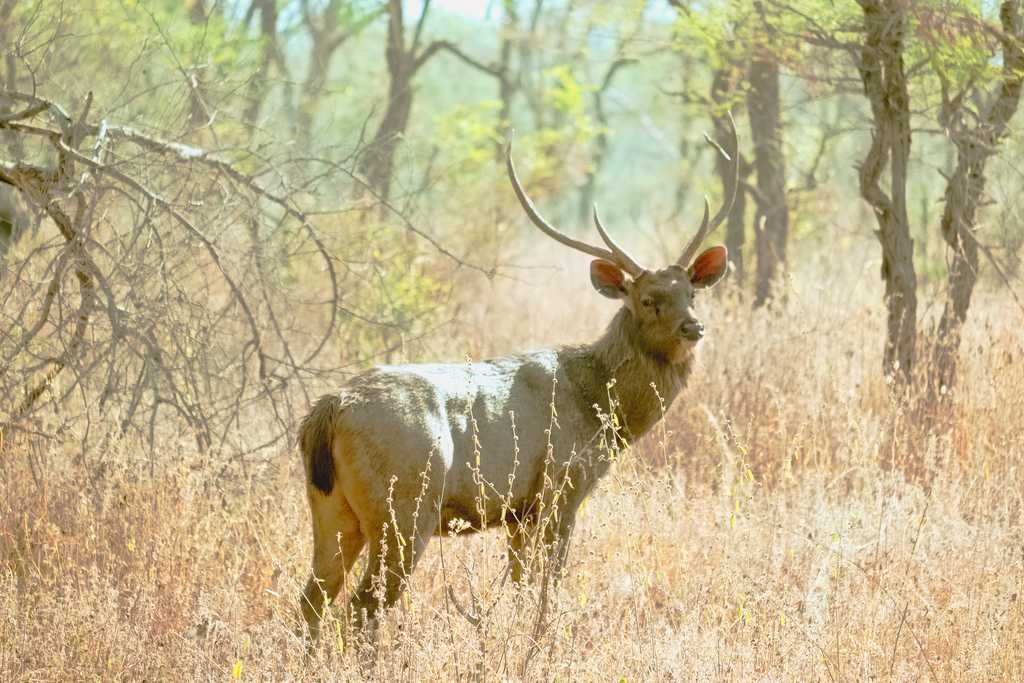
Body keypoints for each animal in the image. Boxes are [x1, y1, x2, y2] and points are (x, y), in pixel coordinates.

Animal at [296, 122, 737, 643]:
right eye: (649, 300)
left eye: (690, 293)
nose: (694, 327)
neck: (600, 409)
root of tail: (330, 408)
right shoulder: (561, 487)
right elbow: (550, 583)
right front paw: (546, 638)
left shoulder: (518, 512)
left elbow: (523, 585)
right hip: (403, 506)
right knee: (362, 606)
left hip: (331, 509)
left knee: (311, 601)